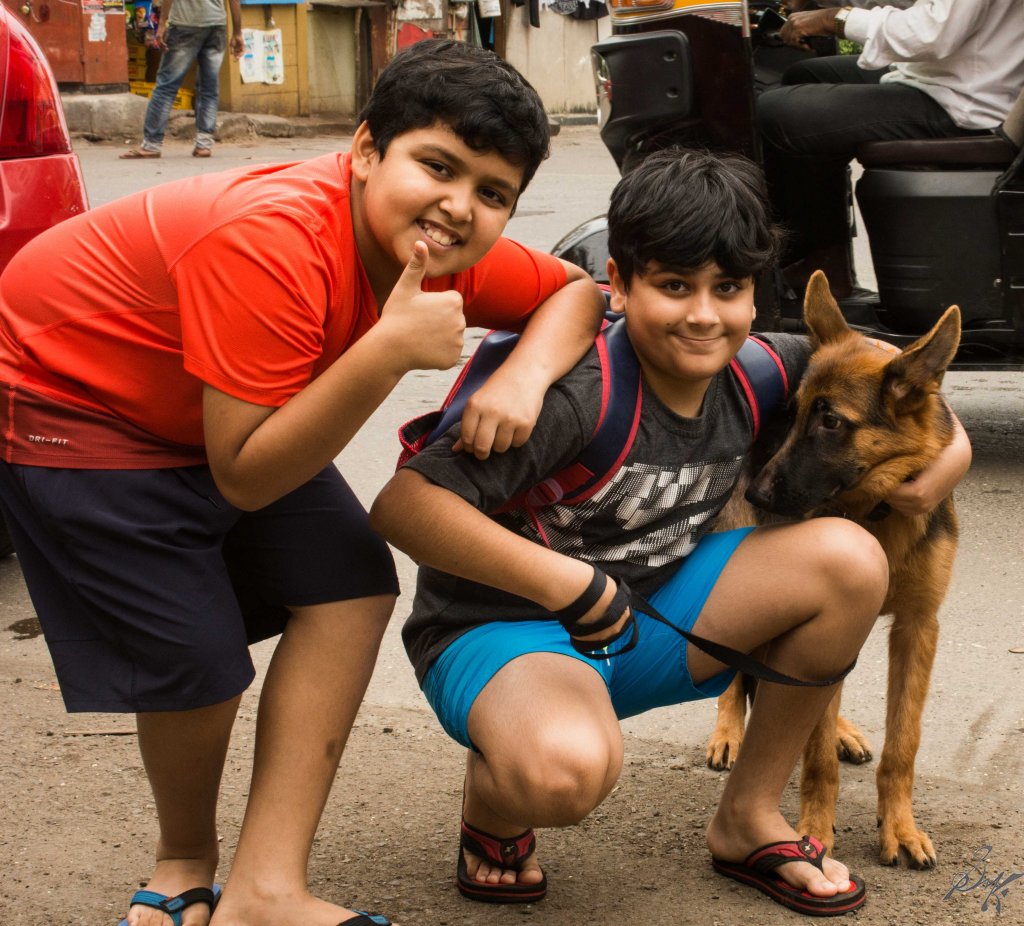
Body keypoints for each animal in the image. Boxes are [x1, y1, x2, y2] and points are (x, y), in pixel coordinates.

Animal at [706, 270, 961, 870]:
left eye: (830, 421)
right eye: (794, 412)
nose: (757, 493)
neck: (879, 510)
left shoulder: (918, 628)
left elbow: (903, 744)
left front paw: (900, 827)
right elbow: (815, 759)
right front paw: (814, 832)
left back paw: (843, 729)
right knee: (740, 676)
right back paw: (729, 730)